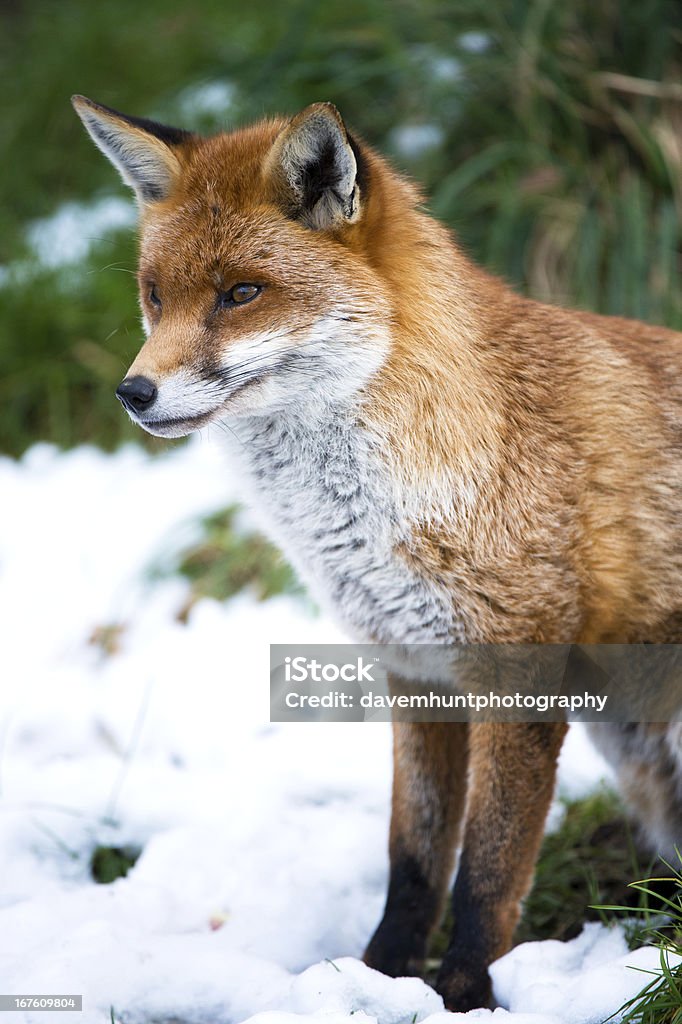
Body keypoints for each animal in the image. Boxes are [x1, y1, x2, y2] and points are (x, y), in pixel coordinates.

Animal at [71, 94, 675, 1007]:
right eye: (154, 296)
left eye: (240, 294)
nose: (133, 393)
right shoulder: (414, 669)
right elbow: (415, 857)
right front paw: (379, 977)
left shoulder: (517, 670)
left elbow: (488, 870)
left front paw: (462, 993)